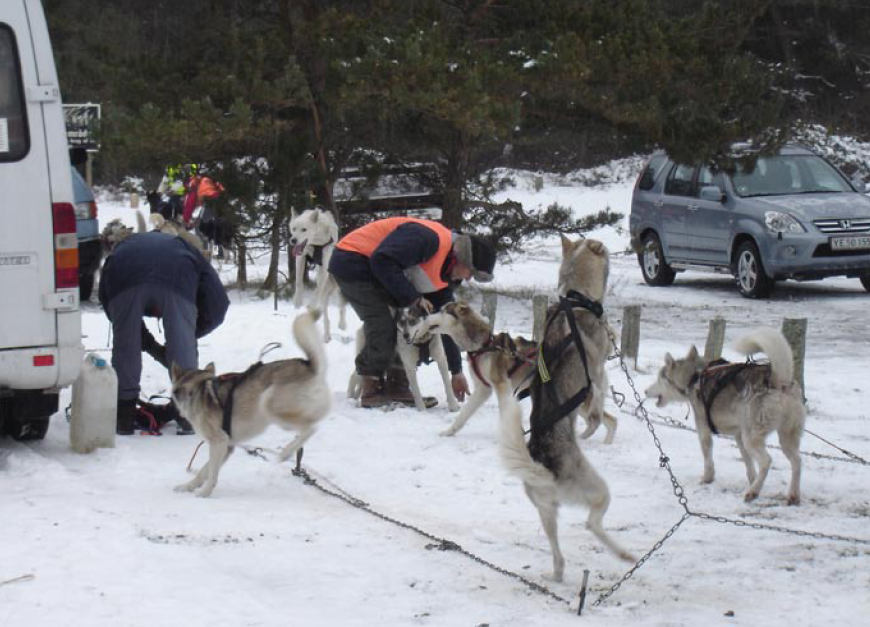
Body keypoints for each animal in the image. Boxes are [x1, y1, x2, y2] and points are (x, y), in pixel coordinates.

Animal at [292, 209, 348, 340]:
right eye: (293, 229)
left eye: (304, 229)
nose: (293, 240)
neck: (316, 242)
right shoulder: (300, 258)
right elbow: (299, 282)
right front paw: (297, 301)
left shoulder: (324, 267)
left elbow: (317, 290)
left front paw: (311, 303)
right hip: (325, 296)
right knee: (326, 316)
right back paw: (327, 335)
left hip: (336, 285)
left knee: (340, 305)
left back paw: (342, 324)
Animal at [494, 237, 632, 584]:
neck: (575, 299)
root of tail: (542, 466)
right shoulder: (597, 369)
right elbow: (599, 394)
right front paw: (594, 421)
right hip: (599, 491)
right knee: (592, 523)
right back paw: (625, 554)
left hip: (547, 513)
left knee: (558, 556)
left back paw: (556, 574)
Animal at [644, 328, 808, 506]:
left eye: (659, 379)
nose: (645, 391)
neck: (694, 376)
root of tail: (777, 380)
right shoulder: (739, 435)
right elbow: (748, 463)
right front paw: (751, 478)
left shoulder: (704, 429)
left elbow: (708, 458)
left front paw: (707, 479)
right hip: (785, 436)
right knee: (797, 461)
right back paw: (793, 495)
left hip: (752, 437)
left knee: (766, 461)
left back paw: (753, 492)